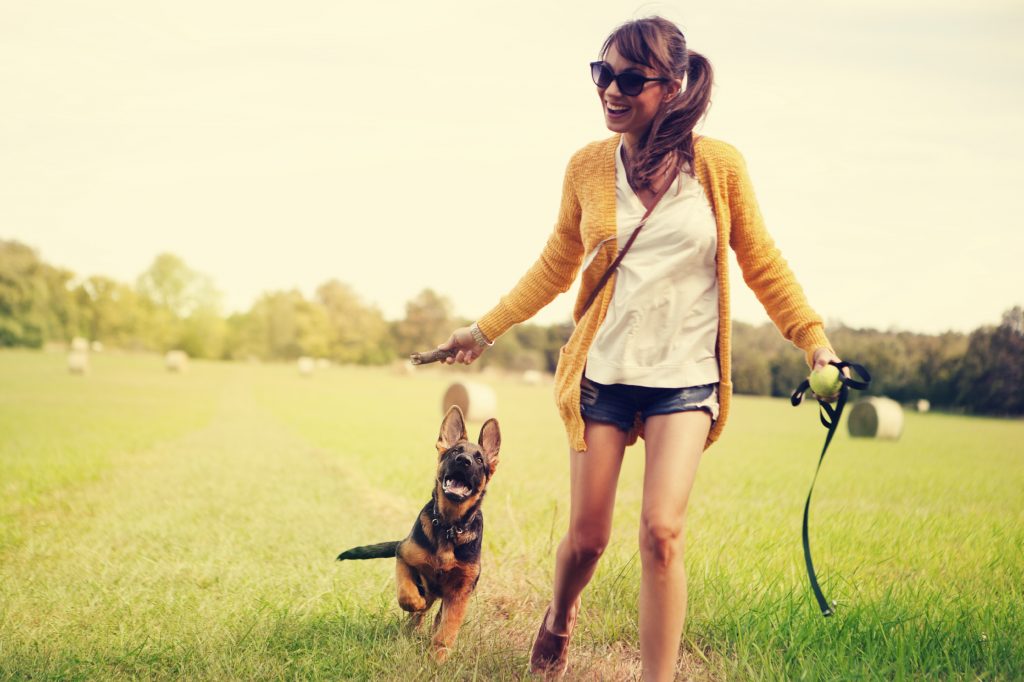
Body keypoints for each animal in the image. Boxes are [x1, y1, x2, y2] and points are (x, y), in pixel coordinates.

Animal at [335, 403, 499, 659]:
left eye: (479, 459)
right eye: (455, 451)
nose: (463, 461)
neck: (449, 527)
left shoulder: (461, 591)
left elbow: (448, 629)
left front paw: (437, 657)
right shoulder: (404, 556)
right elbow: (407, 594)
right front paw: (416, 604)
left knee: (439, 619)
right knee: (420, 610)